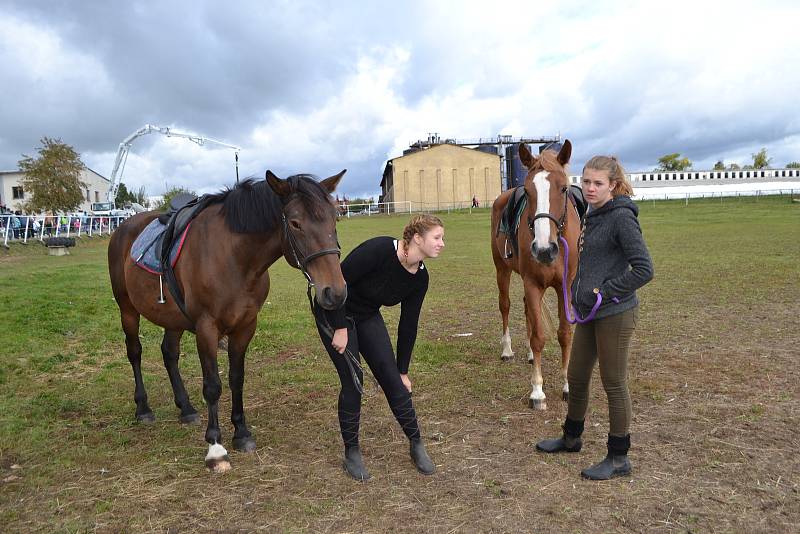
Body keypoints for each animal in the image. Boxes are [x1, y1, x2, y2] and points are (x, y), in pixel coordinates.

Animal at [108, 171, 346, 474]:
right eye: (295, 223)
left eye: (334, 218)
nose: (335, 292)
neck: (235, 259)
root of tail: (123, 228)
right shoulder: (206, 328)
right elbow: (213, 386)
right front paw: (216, 448)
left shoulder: (245, 326)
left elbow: (236, 378)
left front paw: (241, 432)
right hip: (127, 309)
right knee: (135, 352)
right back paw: (143, 408)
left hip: (172, 319)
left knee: (169, 354)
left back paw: (186, 408)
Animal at [490, 141, 580, 410]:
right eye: (529, 192)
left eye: (563, 188)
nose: (543, 249)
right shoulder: (531, 283)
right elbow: (539, 336)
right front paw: (537, 391)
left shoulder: (565, 286)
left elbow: (564, 334)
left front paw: (567, 385)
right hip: (502, 270)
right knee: (506, 306)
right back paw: (507, 350)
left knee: (528, 311)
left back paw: (530, 355)